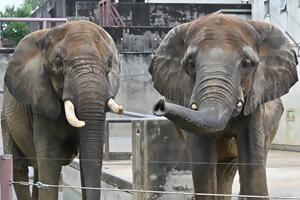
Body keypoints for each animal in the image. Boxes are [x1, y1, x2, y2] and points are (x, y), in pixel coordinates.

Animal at [150, 14, 298, 200]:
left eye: (247, 63)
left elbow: (252, 160)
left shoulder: (255, 105)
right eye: (190, 64)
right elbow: (203, 163)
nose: (159, 105)